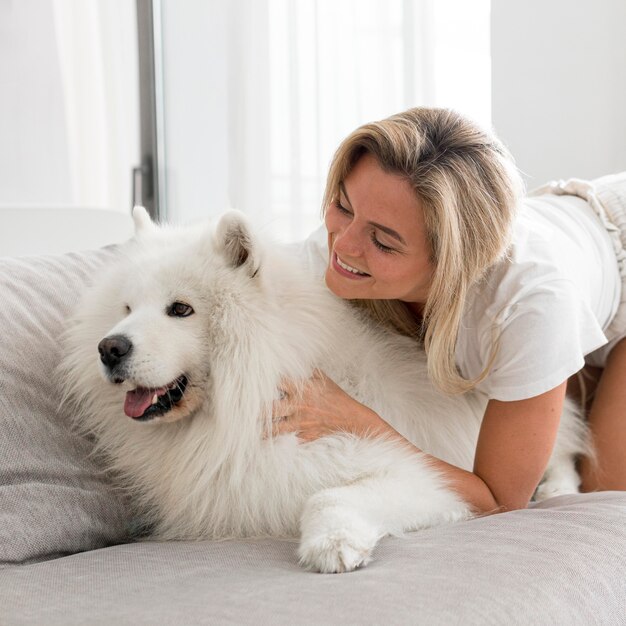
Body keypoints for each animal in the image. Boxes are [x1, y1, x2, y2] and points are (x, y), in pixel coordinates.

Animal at [59, 208, 588, 572]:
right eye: (127, 308)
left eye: (181, 310)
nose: (109, 348)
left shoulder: (428, 478)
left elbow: (328, 497)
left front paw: (332, 545)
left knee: (563, 450)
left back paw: (557, 488)